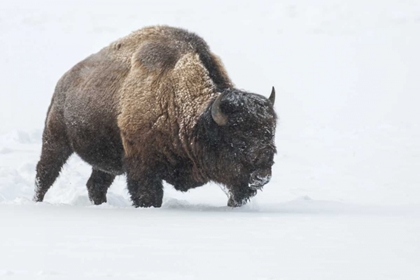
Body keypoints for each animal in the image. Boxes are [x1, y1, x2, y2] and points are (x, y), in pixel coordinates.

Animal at [35, 25, 276, 207]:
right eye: (239, 140)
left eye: (270, 134)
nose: (262, 176)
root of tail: (64, 82)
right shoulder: (143, 167)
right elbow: (149, 196)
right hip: (56, 140)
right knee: (45, 174)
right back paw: (37, 201)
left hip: (104, 161)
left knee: (95, 184)